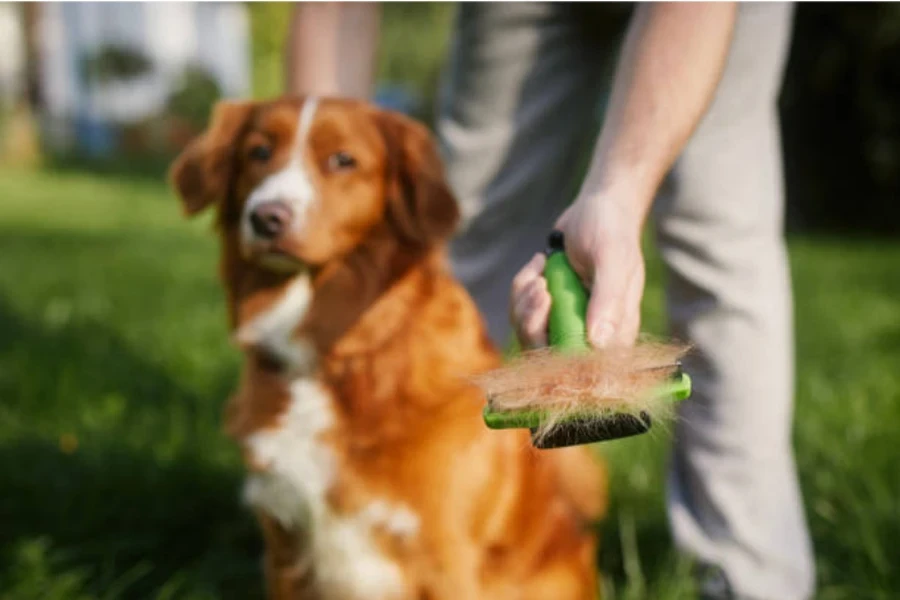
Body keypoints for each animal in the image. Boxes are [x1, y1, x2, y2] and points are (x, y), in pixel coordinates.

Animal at [167, 96, 604, 596]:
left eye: (343, 160)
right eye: (258, 152)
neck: (333, 361)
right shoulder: (284, 547)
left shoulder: (446, 559)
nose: (265, 218)